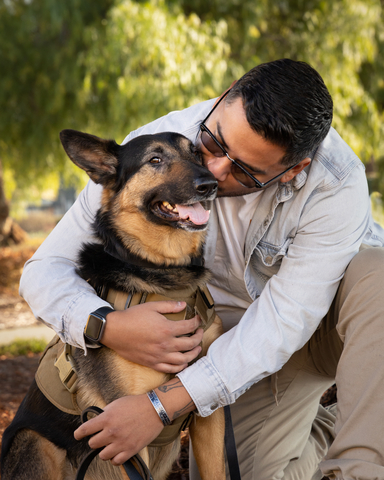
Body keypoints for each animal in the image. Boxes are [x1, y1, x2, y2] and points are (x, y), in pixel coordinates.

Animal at [0, 129, 225, 478]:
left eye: (197, 154)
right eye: (155, 159)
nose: (210, 184)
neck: (160, 271)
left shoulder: (208, 413)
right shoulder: (125, 425)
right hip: (35, 442)